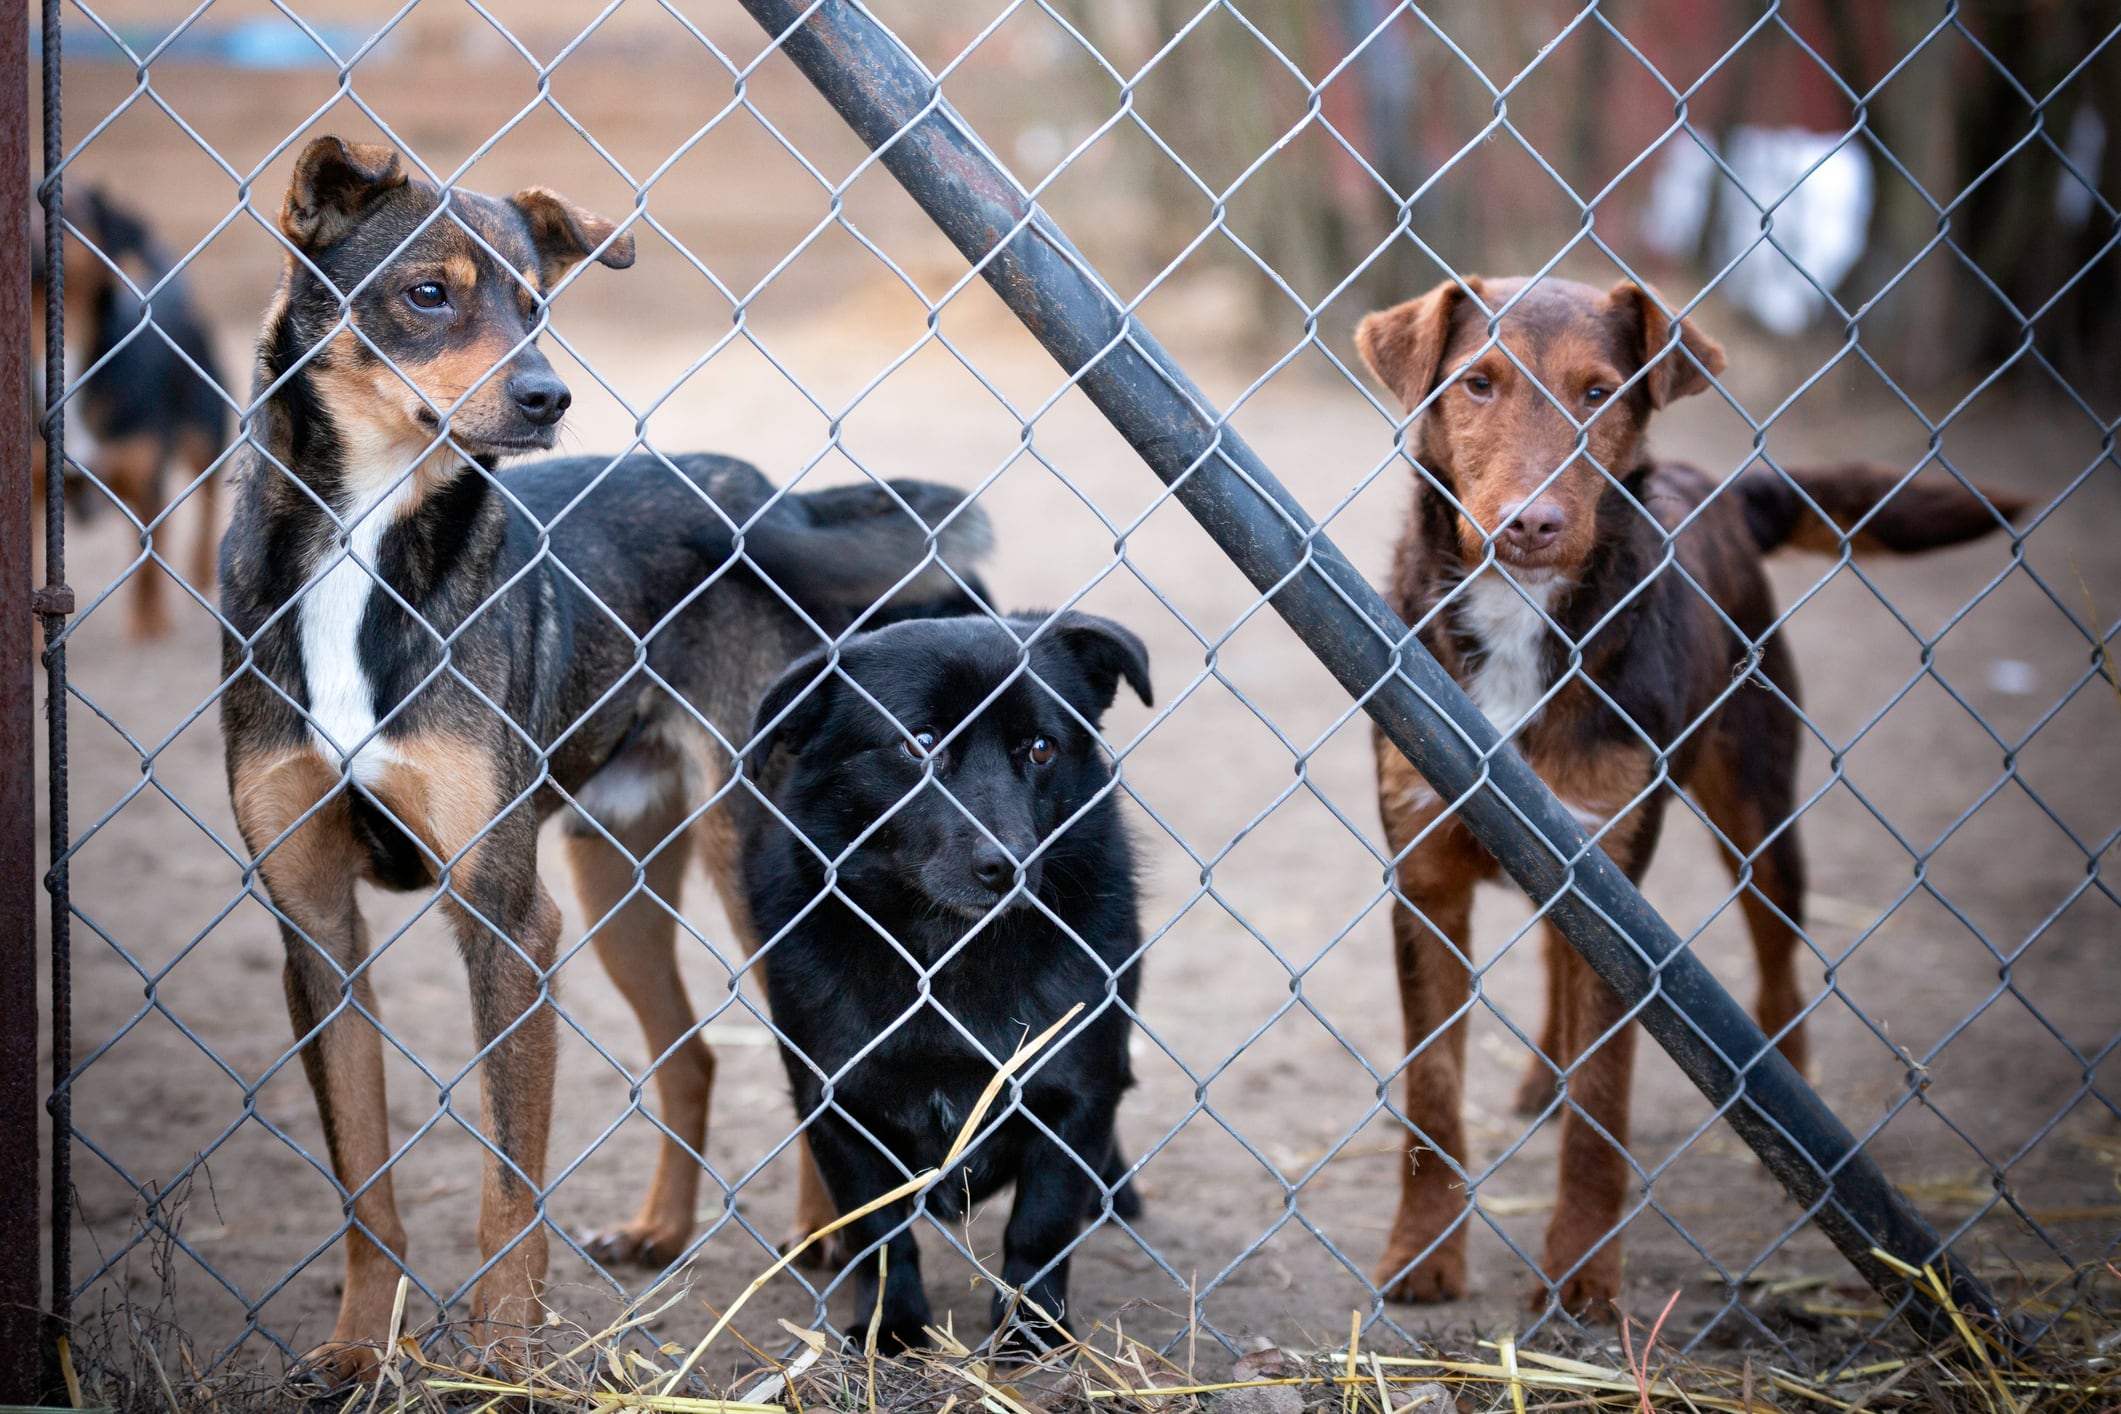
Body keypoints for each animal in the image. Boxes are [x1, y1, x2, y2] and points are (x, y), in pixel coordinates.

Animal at [215, 137, 992, 1373]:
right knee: (692, 1054)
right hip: (614, 874)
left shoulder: (508, 920)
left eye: (537, 306)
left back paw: (829, 1239)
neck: (366, 542)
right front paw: (357, 1350)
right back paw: (663, 1229)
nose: (548, 397)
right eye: (426, 293)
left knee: (811, 1059)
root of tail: (767, 499)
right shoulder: (316, 930)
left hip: (749, 863)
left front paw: (506, 1358)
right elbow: (365, 1182)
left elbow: (507, 1188)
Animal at [742, 614, 1145, 1356]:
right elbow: (879, 1237)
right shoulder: (840, 1110)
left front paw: (1029, 1334)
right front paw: (893, 1329)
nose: (1008, 865)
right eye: (919, 744)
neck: (947, 953)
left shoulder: (1075, 1095)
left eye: (1041, 747)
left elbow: (1040, 1228)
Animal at [1348, 273, 2027, 1314]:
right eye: (1476, 384)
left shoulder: (1613, 895)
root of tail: (1723, 488)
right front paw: (1424, 1253)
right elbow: (1430, 1094)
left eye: (1598, 393)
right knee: (1558, 960)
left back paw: (1788, 1128)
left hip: (1758, 812)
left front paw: (1582, 1271)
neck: (1523, 622)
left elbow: (1604, 1103)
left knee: (1779, 971)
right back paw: (1540, 1076)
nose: (1532, 524)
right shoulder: (1426, 879)